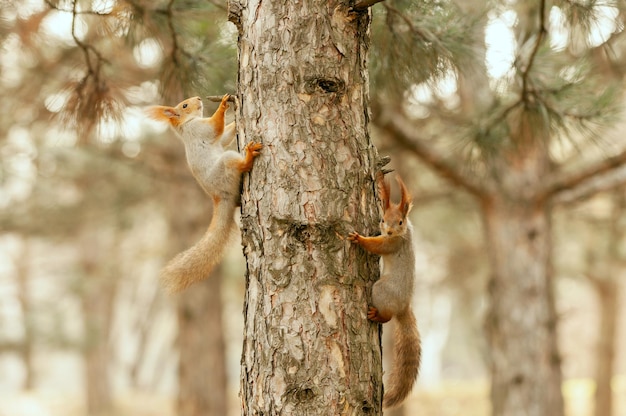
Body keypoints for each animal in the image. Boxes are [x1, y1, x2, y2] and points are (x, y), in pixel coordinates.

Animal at [146, 93, 260, 292]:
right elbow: (215, 127)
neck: (186, 124)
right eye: (184, 105)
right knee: (240, 164)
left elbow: (224, 136)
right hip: (226, 164)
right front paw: (223, 104)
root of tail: (219, 197)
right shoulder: (198, 130)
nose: (198, 98)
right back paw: (248, 156)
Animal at [346, 172, 420, 410]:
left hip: (381, 289)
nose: (388, 230)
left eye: (400, 222)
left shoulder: (393, 243)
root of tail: (403, 306)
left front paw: (359, 239)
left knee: (387, 317)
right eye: (382, 219)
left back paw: (376, 315)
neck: (405, 232)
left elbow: (377, 246)